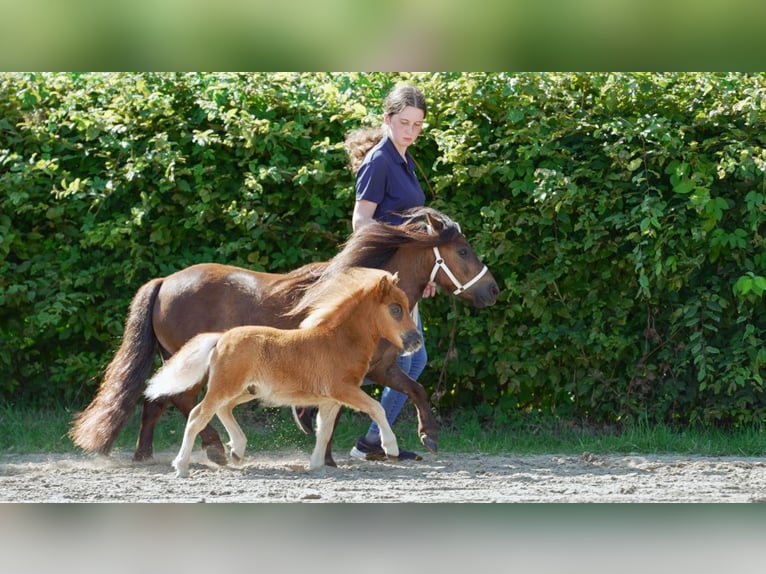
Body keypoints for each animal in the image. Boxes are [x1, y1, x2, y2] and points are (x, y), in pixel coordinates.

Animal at [144, 268, 420, 480]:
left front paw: (316, 465)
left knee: (223, 409)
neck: (339, 341)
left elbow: (324, 431)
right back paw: (182, 466)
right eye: (395, 309)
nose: (416, 340)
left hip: (245, 391)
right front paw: (391, 448)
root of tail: (221, 338)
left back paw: (237, 450)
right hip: (225, 386)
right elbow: (376, 407)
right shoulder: (343, 390)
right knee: (197, 414)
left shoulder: (330, 401)